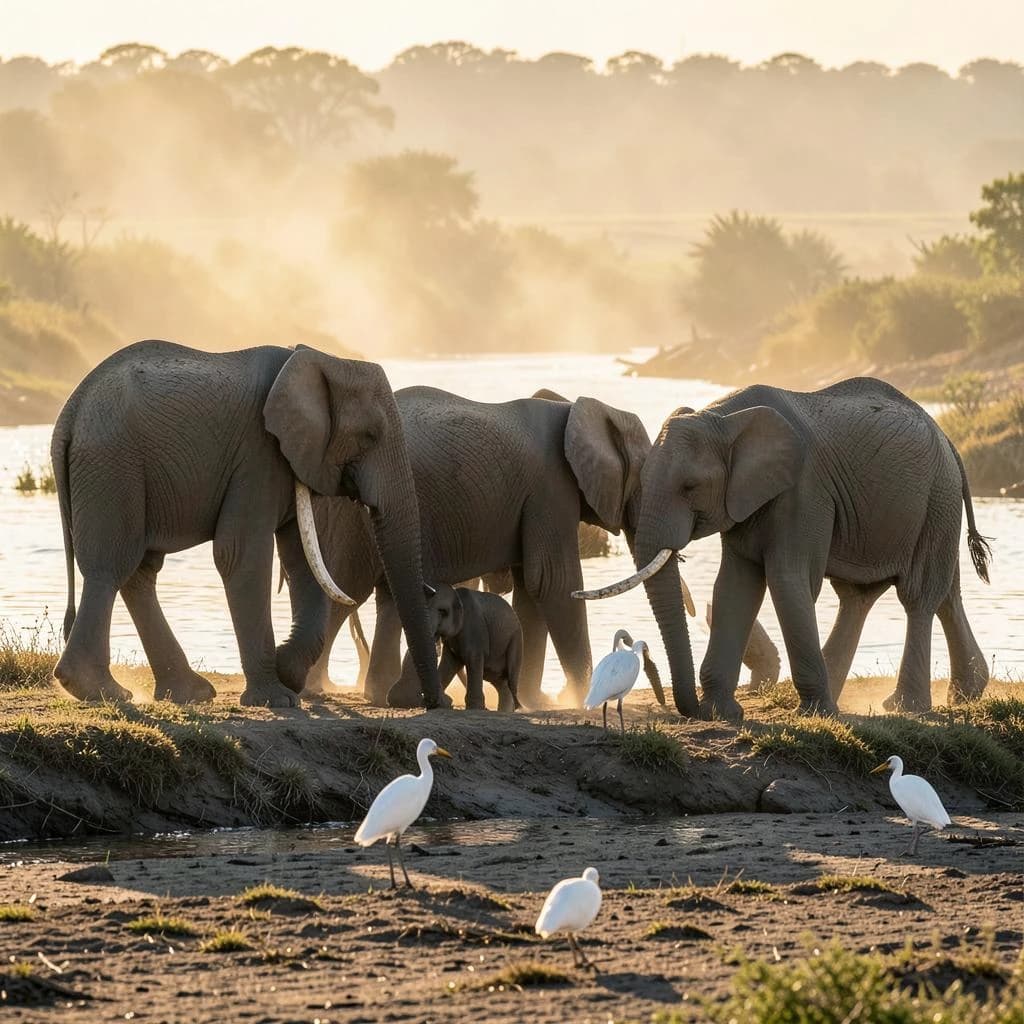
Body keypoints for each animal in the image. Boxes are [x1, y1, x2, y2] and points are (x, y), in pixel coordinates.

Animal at [50, 339, 442, 709]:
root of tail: (68, 414)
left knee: (140, 571)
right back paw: (101, 692)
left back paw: (188, 693)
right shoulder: (258, 454)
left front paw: (287, 670)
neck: (317, 359)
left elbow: (304, 560)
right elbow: (241, 552)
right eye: (370, 436)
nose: (432, 703)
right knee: (112, 566)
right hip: (113, 465)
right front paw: (278, 698)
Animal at [426, 583, 523, 712]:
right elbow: (449, 663)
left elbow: (472, 658)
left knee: (510, 677)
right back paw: (504, 711)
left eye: (443, 612)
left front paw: (475, 708)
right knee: (499, 680)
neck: (456, 594)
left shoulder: (474, 628)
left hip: (515, 639)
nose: (450, 701)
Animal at [577, 378, 990, 720]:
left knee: (918, 596)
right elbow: (734, 587)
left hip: (936, 498)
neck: (724, 419)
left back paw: (903, 707)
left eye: (690, 487)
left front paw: (815, 714)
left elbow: (788, 580)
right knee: (888, 596)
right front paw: (723, 713)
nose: (689, 710)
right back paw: (963, 695)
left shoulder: (803, 492)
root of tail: (948, 440)